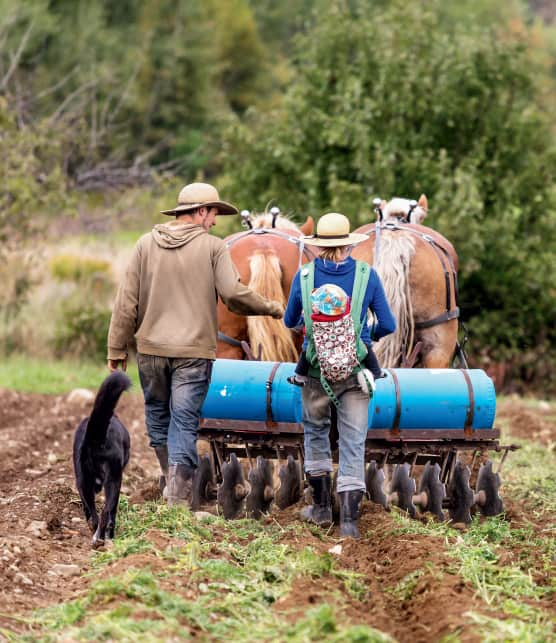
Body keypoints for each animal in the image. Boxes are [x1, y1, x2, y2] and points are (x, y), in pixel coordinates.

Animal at [73, 372, 131, 548]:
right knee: (106, 512)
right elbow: (112, 512)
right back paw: (101, 538)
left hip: (82, 480)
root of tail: (95, 437)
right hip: (114, 478)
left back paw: (95, 536)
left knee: (92, 514)